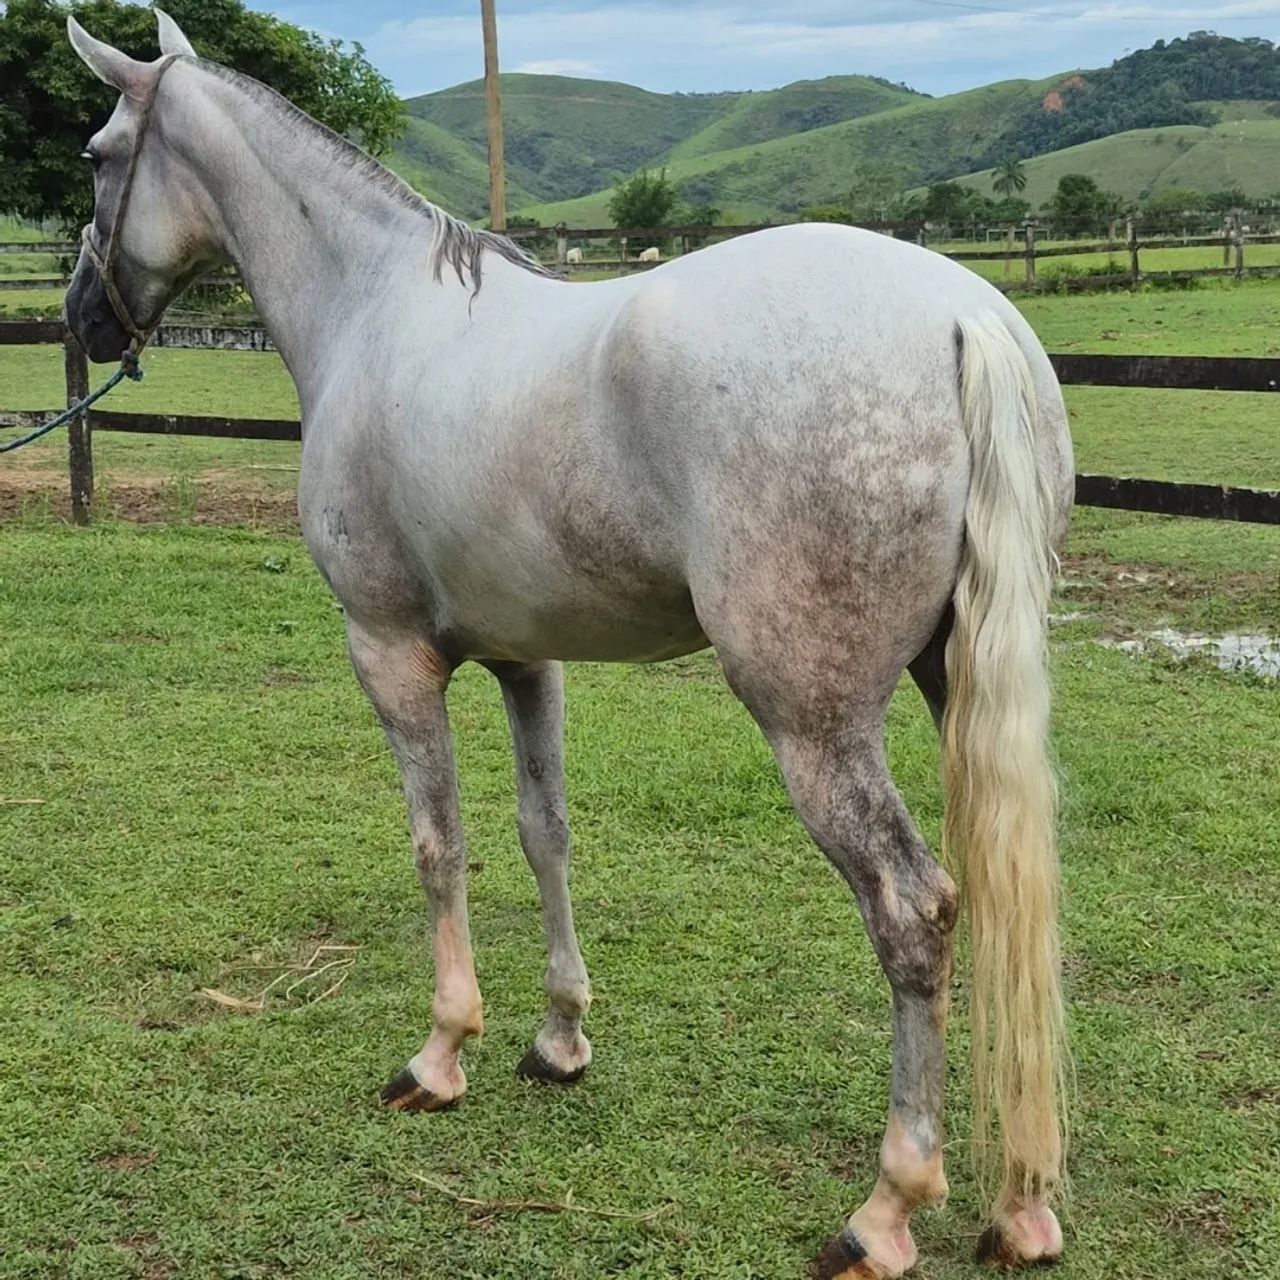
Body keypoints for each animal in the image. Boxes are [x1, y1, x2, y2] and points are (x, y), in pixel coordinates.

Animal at [65, 13, 1074, 1275]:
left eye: (100, 153)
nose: (81, 316)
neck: (374, 308)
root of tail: (958, 314)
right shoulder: (523, 659)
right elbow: (544, 834)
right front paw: (557, 1039)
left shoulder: (389, 654)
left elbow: (438, 843)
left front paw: (440, 1050)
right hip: (956, 686)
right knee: (1005, 896)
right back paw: (1021, 1199)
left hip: (815, 725)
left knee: (913, 910)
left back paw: (887, 1205)